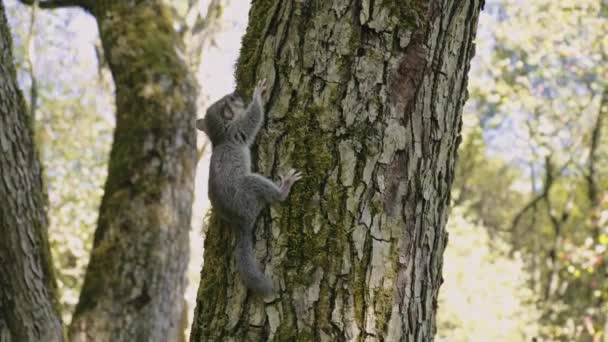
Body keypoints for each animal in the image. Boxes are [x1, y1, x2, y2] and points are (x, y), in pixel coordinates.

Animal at [197, 79, 302, 294]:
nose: (237, 93)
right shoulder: (239, 129)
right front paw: (258, 93)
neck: (221, 136)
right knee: (275, 195)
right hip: (251, 185)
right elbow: (254, 117)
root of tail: (242, 221)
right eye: (230, 100)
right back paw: (285, 186)